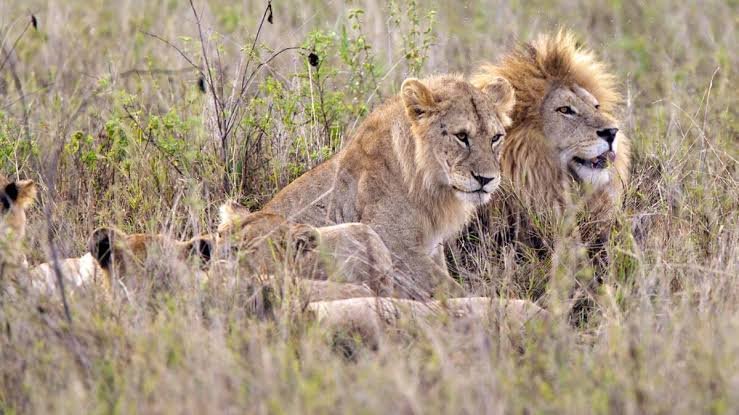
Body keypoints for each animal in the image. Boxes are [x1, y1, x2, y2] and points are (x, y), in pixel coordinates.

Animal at [260, 75, 516, 300]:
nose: (486, 179)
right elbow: (453, 291)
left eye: (496, 137)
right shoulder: (395, 245)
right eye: (461, 136)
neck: (429, 184)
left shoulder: (433, 250)